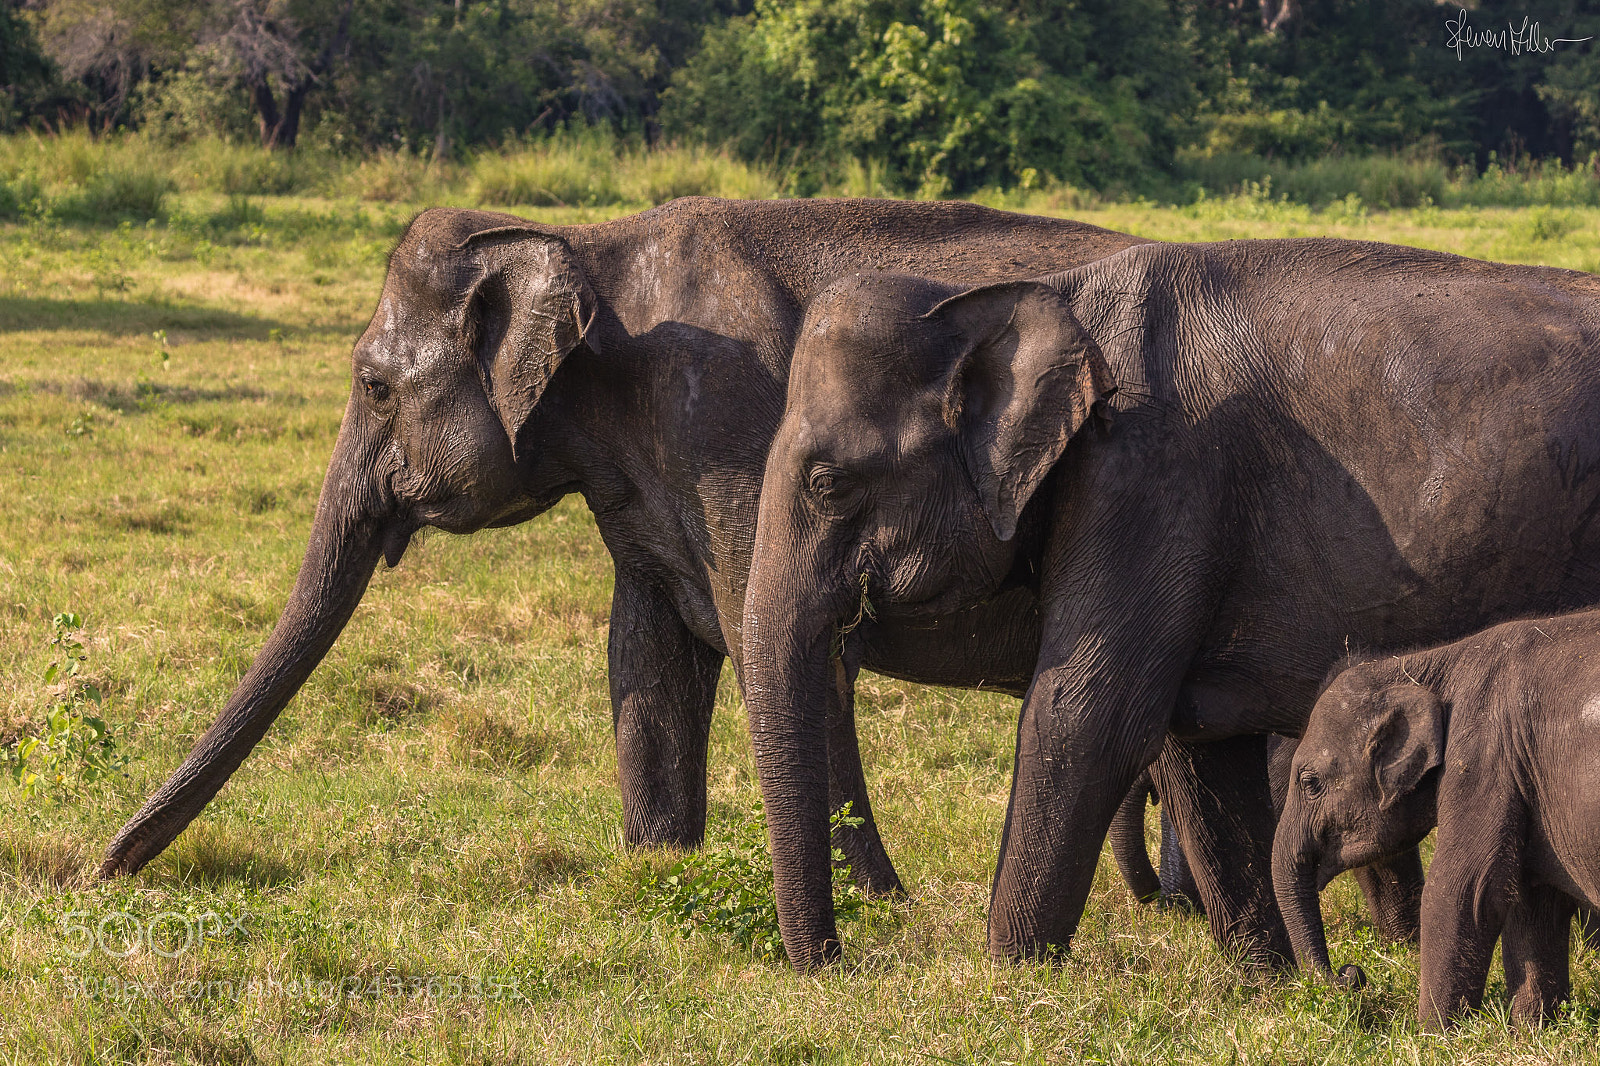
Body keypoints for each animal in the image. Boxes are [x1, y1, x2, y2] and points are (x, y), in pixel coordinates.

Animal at [96, 198, 1155, 898]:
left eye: (373, 386)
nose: (100, 873)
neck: (591, 244)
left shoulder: (734, 425)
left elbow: (780, 647)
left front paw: (877, 907)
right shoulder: (645, 486)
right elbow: (647, 651)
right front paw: (657, 872)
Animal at [739, 237, 1600, 971]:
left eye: (828, 483)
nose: (844, 963)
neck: (1050, 296)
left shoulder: (1151, 478)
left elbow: (1087, 715)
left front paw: (1007, 977)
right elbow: (1195, 743)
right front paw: (1268, 987)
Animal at [1276, 612, 1600, 1028]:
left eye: (1310, 783)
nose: (1350, 974)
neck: (1425, 664)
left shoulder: (1483, 759)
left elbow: (1460, 893)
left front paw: (1433, 1035)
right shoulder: (1522, 777)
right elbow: (1534, 902)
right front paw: (1529, 1032)